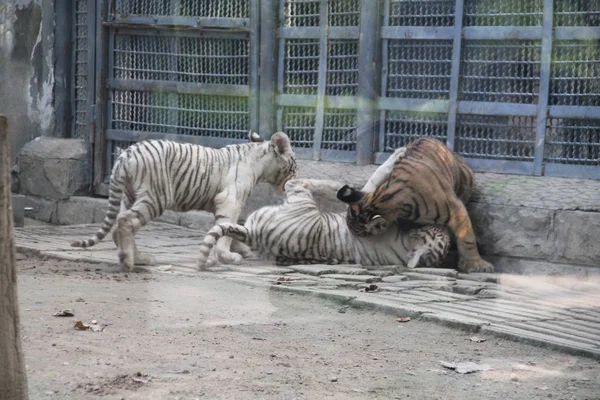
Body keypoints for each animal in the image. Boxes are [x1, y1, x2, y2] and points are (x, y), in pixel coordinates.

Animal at [71, 131, 296, 272]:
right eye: (294, 166)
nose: (294, 179)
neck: (259, 160)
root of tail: (125, 154)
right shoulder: (230, 200)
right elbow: (225, 230)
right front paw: (228, 256)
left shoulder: (222, 204)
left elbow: (227, 229)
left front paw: (241, 250)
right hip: (156, 197)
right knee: (124, 221)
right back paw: (128, 263)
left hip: (130, 196)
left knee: (120, 225)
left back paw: (139, 258)